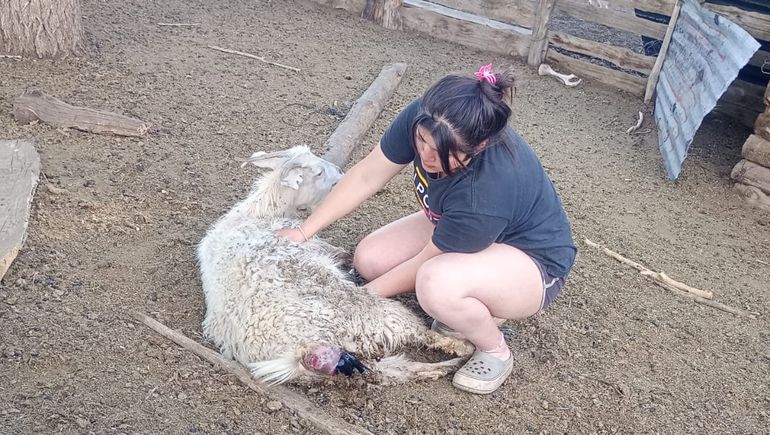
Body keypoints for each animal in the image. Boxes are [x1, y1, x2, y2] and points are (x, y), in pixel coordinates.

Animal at [195, 146, 468, 384]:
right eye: (318, 172)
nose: (340, 173)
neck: (259, 213)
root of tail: (302, 351)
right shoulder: (317, 246)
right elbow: (340, 254)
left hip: (359, 357)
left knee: (391, 371)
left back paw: (445, 367)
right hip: (371, 316)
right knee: (417, 335)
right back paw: (461, 349)